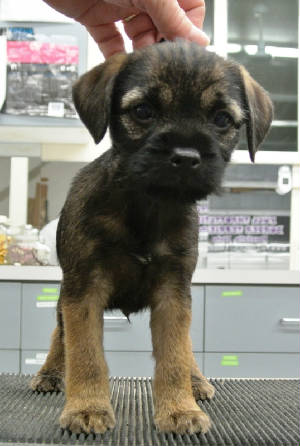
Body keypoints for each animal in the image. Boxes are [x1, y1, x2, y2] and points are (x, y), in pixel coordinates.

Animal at [31, 41, 274, 432]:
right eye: (143, 111)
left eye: (222, 119)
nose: (186, 156)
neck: (146, 206)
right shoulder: (83, 291)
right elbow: (85, 353)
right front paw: (87, 406)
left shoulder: (173, 293)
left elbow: (175, 353)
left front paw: (179, 408)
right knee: (60, 335)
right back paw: (51, 373)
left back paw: (195, 381)